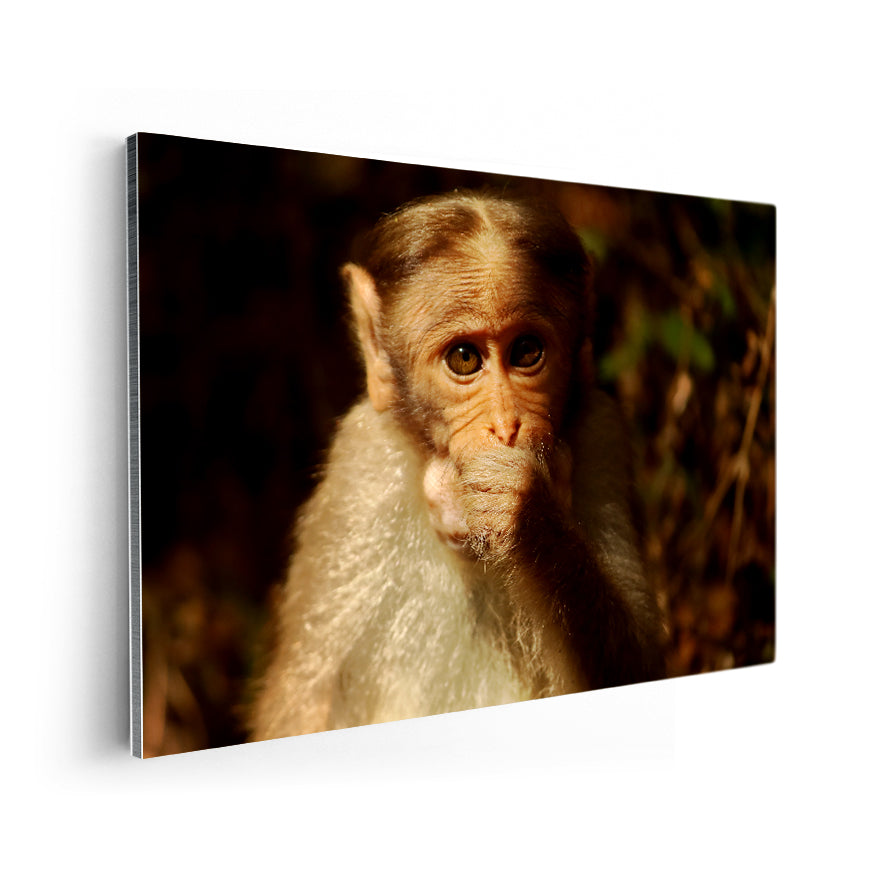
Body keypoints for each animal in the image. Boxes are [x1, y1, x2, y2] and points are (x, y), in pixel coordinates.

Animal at [248, 191, 665, 741]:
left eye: (527, 352)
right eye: (465, 359)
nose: (506, 427)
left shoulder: (603, 439)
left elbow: (636, 669)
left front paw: (525, 511)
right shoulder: (361, 468)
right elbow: (305, 701)